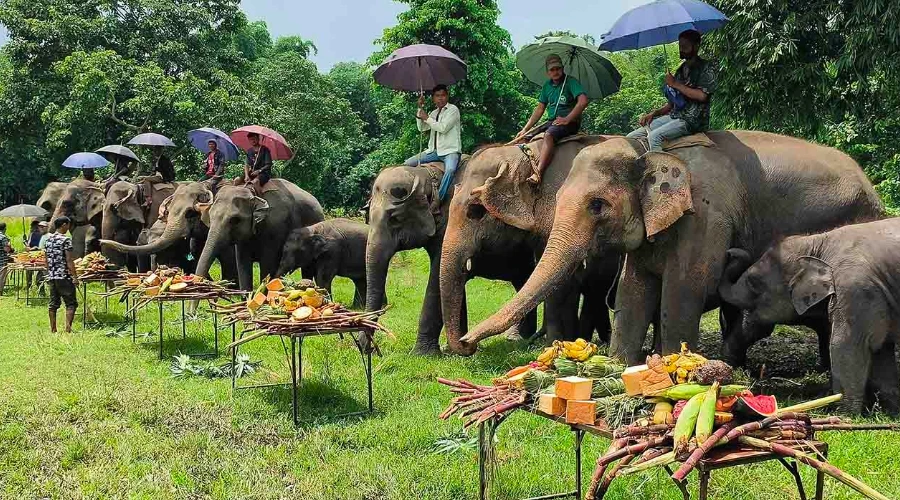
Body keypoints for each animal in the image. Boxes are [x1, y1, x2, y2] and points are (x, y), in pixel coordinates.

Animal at [195, 179, 326, 290]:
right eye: (210, 217)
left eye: (235, 220)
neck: (254, 194)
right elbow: (243, 264)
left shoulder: (275, 228)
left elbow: (267, 263)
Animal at [366, 162, 540, 354]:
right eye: (368, 219)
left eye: (395, 219)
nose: (370, 350)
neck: (426, 173)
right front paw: (451, 350)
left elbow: (437, 280)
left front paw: (423, 354)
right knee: (523, 282)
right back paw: (518, 338)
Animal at [460, 132, 884, 364]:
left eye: (598, 205)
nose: (464, 346)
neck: (648, 151)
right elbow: (634, 288)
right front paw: (620, 365)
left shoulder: (705, 215)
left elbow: (684, 287)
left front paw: (670, 366)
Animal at [716, 219, 900, 414]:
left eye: (753, 282)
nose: (730, 251)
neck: (816, 243)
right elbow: (881, 348)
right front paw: (891, 410)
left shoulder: (855, 290)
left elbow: (846, 344)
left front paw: (844, 414)